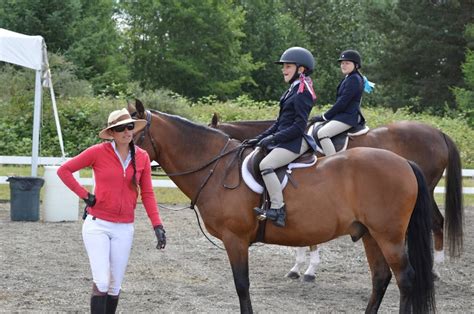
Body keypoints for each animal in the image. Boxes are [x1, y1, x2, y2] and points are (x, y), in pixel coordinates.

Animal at [130, 99, 436, 312]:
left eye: (133, 133)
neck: (218, 169)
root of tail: (403, 162)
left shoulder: (235, 239)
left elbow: (242, 286)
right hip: (371, 234)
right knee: (381, 277)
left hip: (389, 235)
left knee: (406, 279)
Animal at [210, 113, 462, 280]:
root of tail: (439, 132)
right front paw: (298, 267)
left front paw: (308, 269)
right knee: (432, 223)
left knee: (435, 223)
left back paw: (434, 270)